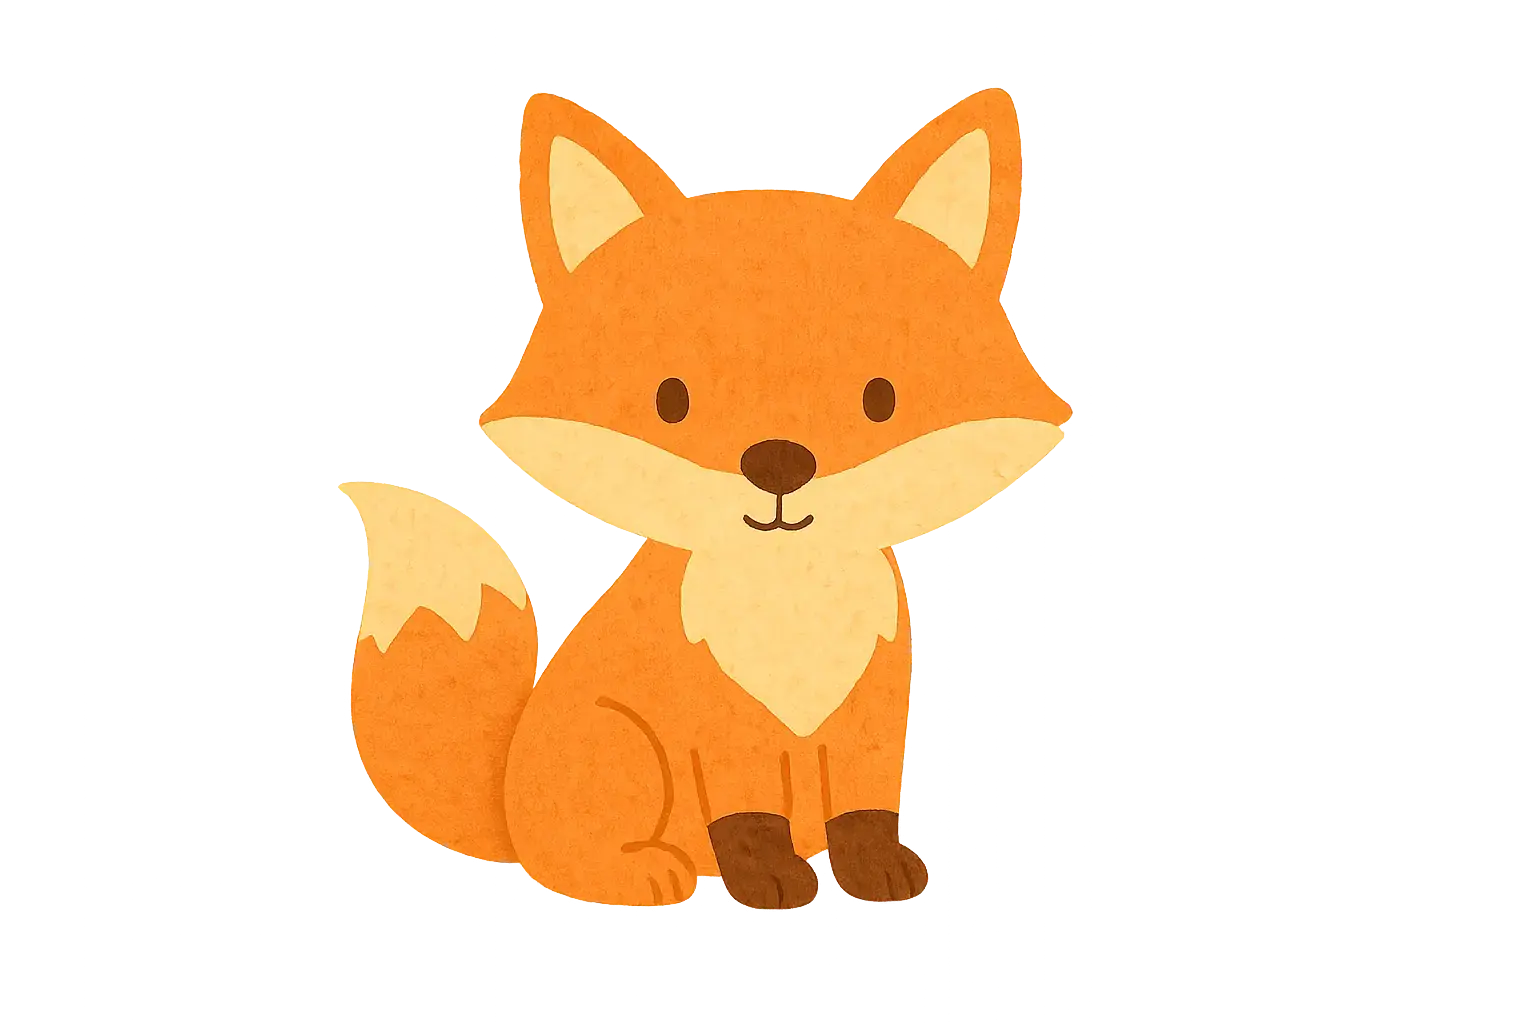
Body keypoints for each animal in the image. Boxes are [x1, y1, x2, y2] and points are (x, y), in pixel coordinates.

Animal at [338, 85, 1071, 913]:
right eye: (671, 399)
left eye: (880, 399)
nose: (779, 461)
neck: (790, 606)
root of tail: (502, 800)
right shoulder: (721, 727)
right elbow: (748, 818)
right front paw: (767, 880)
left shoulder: (870, 714)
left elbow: (864, 810)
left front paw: (878, 871)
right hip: (617, 748)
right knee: (565, 858)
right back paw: (653, 869)